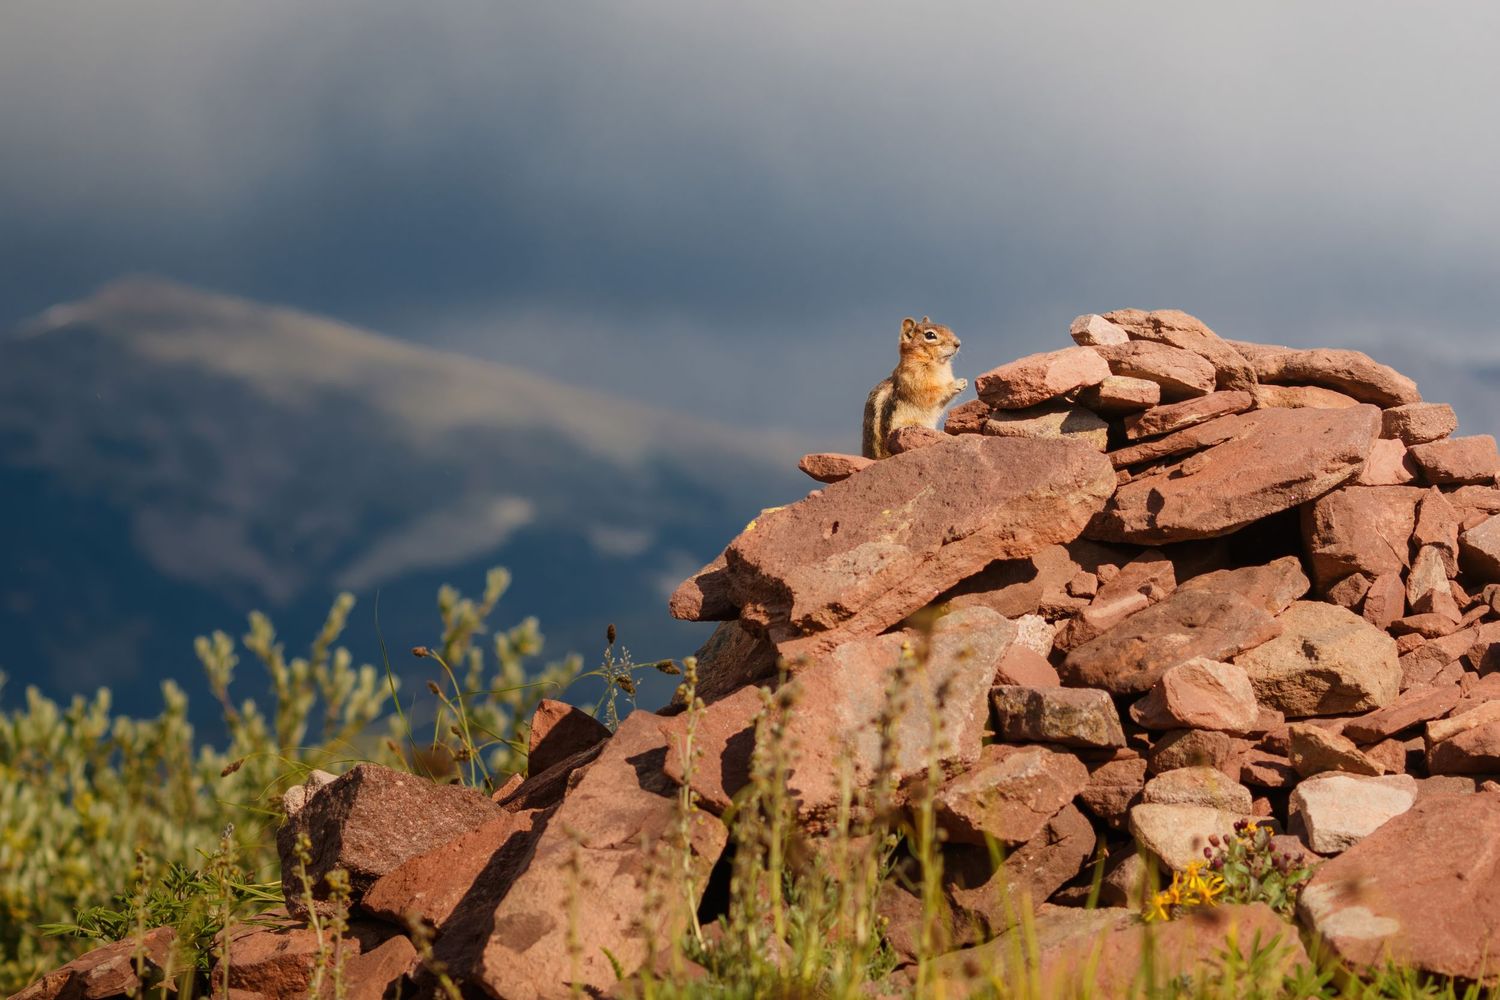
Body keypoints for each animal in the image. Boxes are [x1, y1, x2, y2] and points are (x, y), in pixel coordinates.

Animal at [861, 316, 967, 459]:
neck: (936, 363)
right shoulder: (916, 383)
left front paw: (964, 383)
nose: (958, 343)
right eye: (930, 335)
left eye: (946, 328)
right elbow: (932, 393)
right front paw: (956, 384)